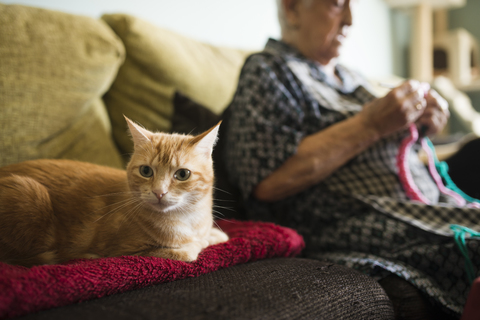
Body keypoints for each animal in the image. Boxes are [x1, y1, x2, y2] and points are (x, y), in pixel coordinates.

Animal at [0, 116, 228, 266]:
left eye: (182, 174)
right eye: (146, 171)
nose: (159, 192)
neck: (189, 220)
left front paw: (213, 234)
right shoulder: (126, 252)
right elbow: (188, 251)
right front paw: (201, 241)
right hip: (28, 193)